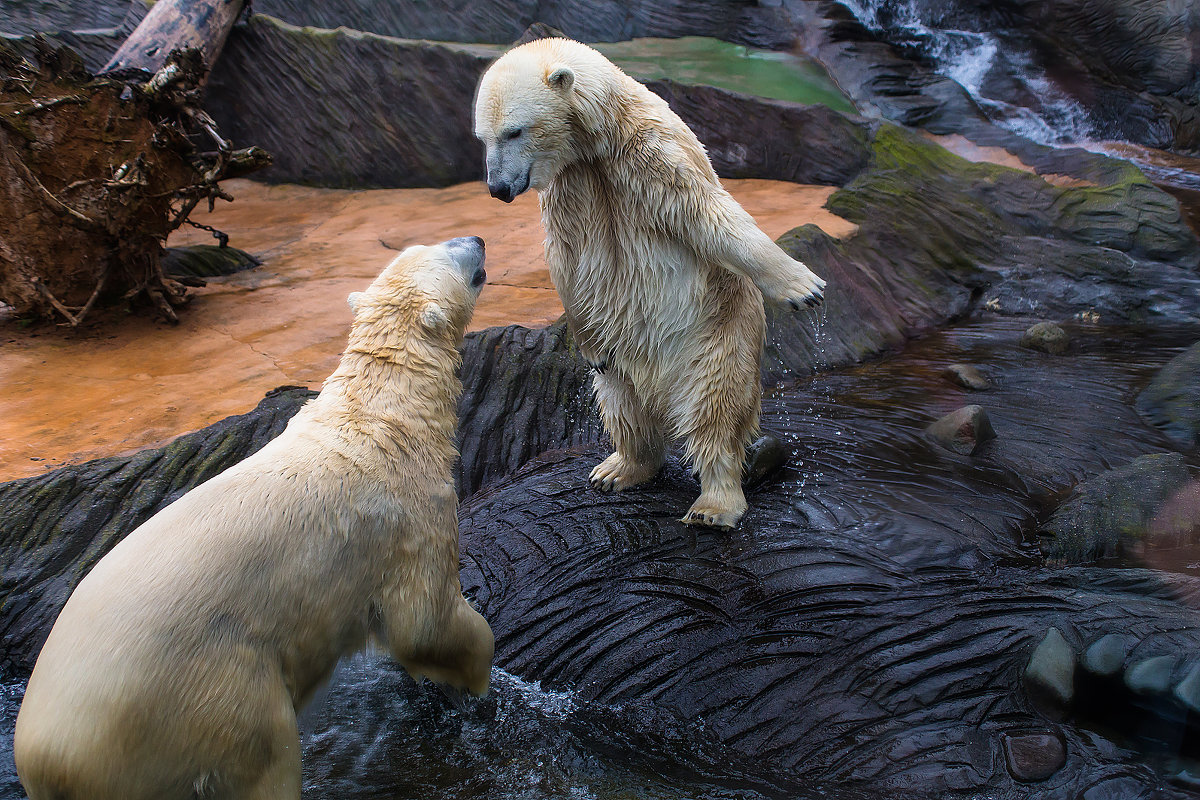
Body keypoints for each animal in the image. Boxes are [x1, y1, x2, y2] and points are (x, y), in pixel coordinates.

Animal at [14, 237, 492, 800]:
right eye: (452, 254)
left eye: (428, 242)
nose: (478, 240)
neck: (382, 417)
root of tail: (49, 759)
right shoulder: (408, 517)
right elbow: (424, 623)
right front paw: (481, 682)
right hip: (203, 697)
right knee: (265, 753)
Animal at [475, 35, 825, 532]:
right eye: (483, 137)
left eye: (515, 132)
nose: (497, 188)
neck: (597, 141)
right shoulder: (570, 184)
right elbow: (565, 258)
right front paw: (584, 343)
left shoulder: (649, 153)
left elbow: (708, 214)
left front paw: (803, 286)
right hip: (623, 353)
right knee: (622, 404)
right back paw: (617, 469)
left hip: (714, 334)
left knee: (715, 409)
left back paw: (714, 503)